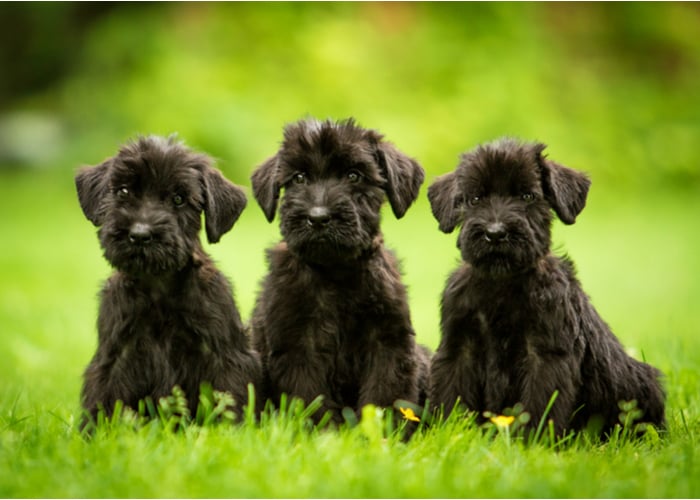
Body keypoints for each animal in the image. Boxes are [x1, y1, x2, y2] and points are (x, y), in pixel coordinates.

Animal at [76, 134, 262, 426]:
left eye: (178, 199)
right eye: (123, 191)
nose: (140, 235)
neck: (158, 286)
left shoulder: (224, 354)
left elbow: (230, 395)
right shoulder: (114, 355)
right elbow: (102, 398)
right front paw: (93, 433)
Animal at [249, 117, 430, 422]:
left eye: (353, 176)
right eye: (299, 178)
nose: (318, 218)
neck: (335, 273)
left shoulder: (388, 342)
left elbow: (384, 394)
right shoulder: (298, 345)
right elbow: (312, 398)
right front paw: (324, 431)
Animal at [430, 138, 664, 434]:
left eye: (527, 197)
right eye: (475, 199)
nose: (495, 233)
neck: (501, 283)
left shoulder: (545, 355)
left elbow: (540, 404)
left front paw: (532, 439)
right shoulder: (458, 348)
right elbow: (451, 397)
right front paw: (447, 433)